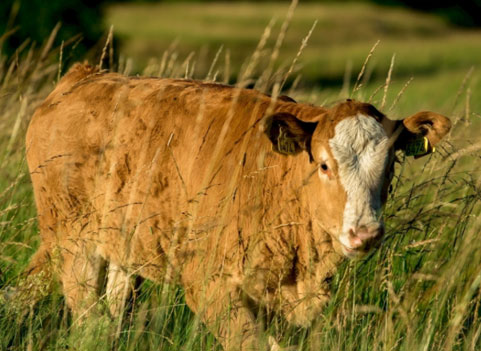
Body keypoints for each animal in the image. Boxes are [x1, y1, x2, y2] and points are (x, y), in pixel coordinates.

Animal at [21, 64, 450, 350]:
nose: (365, 233)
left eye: (391, 165)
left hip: (124, 244)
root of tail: (85, 76)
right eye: (325, 165)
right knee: (88, 317)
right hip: (73, 239)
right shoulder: (211, 285)